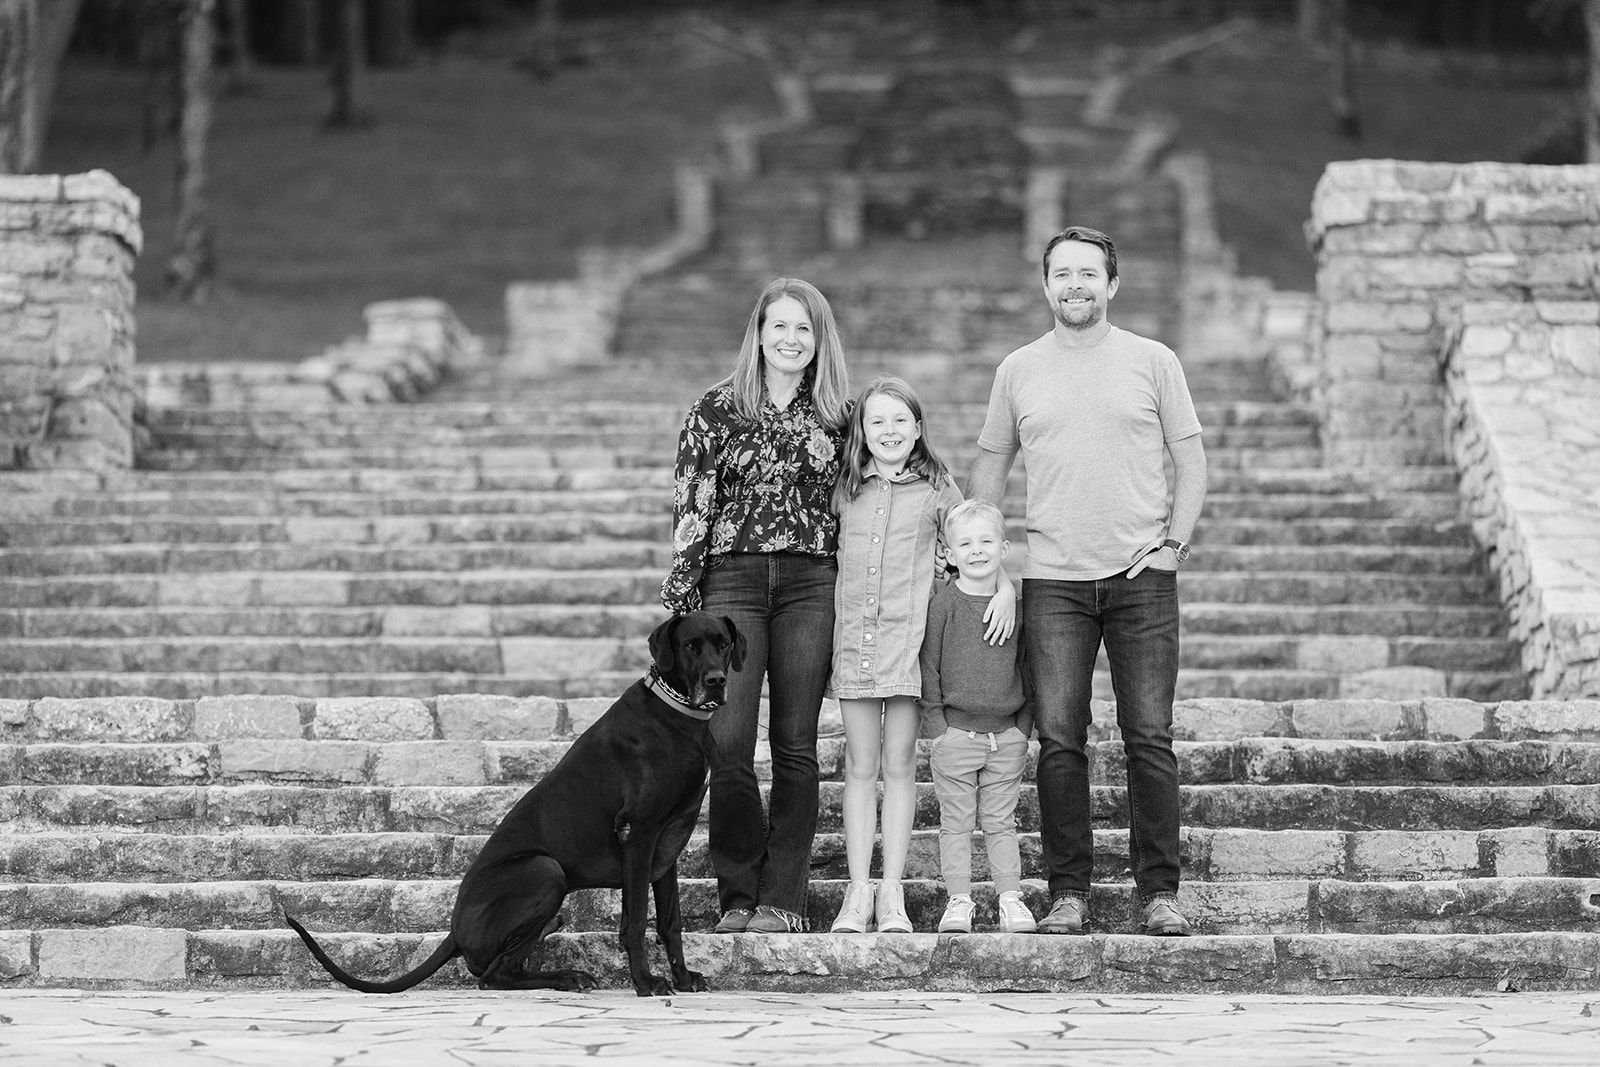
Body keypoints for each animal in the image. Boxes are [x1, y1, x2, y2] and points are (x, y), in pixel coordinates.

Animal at [284, 614, 745, 998]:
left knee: (506, 969)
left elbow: (670, 921)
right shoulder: (640, 832)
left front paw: (683, 978)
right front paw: (646, 983)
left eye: (723, 644)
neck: (677, 714)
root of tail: (454, 932)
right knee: (491, 976)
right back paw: (566, 977)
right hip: (545, 870)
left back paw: (565, 976)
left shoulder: (667, 842)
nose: (717, 680)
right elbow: (635, 922)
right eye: (690, 645)